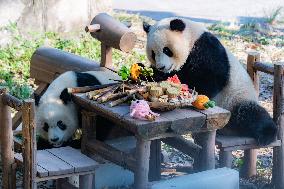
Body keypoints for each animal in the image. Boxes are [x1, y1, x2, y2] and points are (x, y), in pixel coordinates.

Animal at [143, 17, 276, 145]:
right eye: (153, 53)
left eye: (166, 50)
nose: (161, 66)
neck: (191, 37)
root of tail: (227, 129)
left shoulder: (206, 49)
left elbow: (209, 79)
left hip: (236, 97)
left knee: (249, 113)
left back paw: (267, 134)